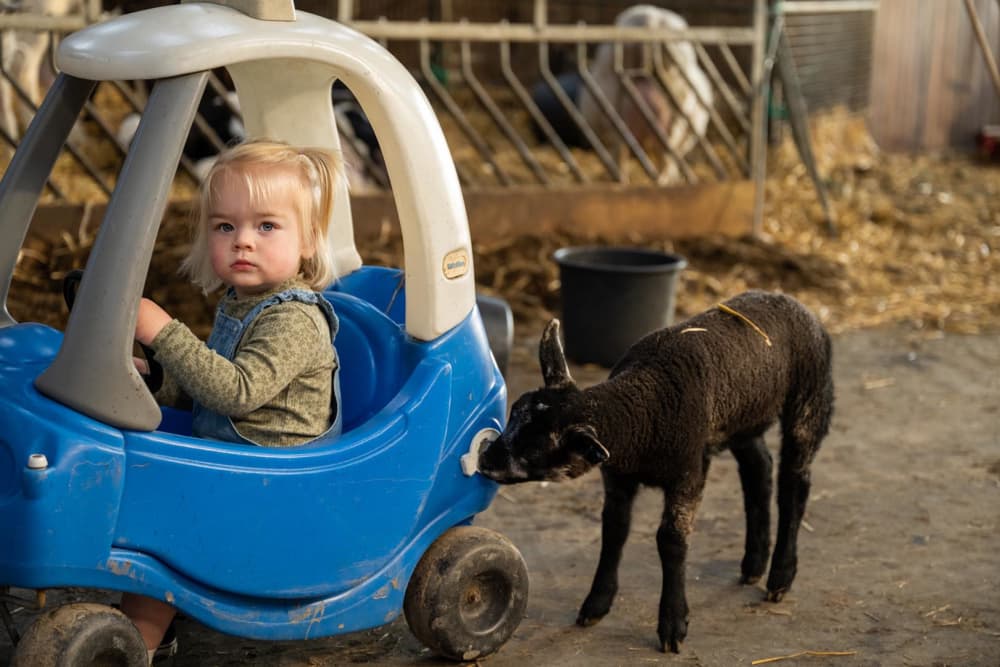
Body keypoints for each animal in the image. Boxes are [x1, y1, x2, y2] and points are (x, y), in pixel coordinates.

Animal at [480, 290, 832, 652]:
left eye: (535, 450)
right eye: (513, 413)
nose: (485, 460)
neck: (645, 413)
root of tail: (790, 300)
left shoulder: (688, 473)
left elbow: (671, 540)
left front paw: (673, 624)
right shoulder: (618, 479)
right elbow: (614, 530)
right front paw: (596, 604)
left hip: (810, 396)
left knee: (794, 483)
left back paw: (780, 576)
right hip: (743, 419)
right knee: (759, 469)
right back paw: (753, 564)